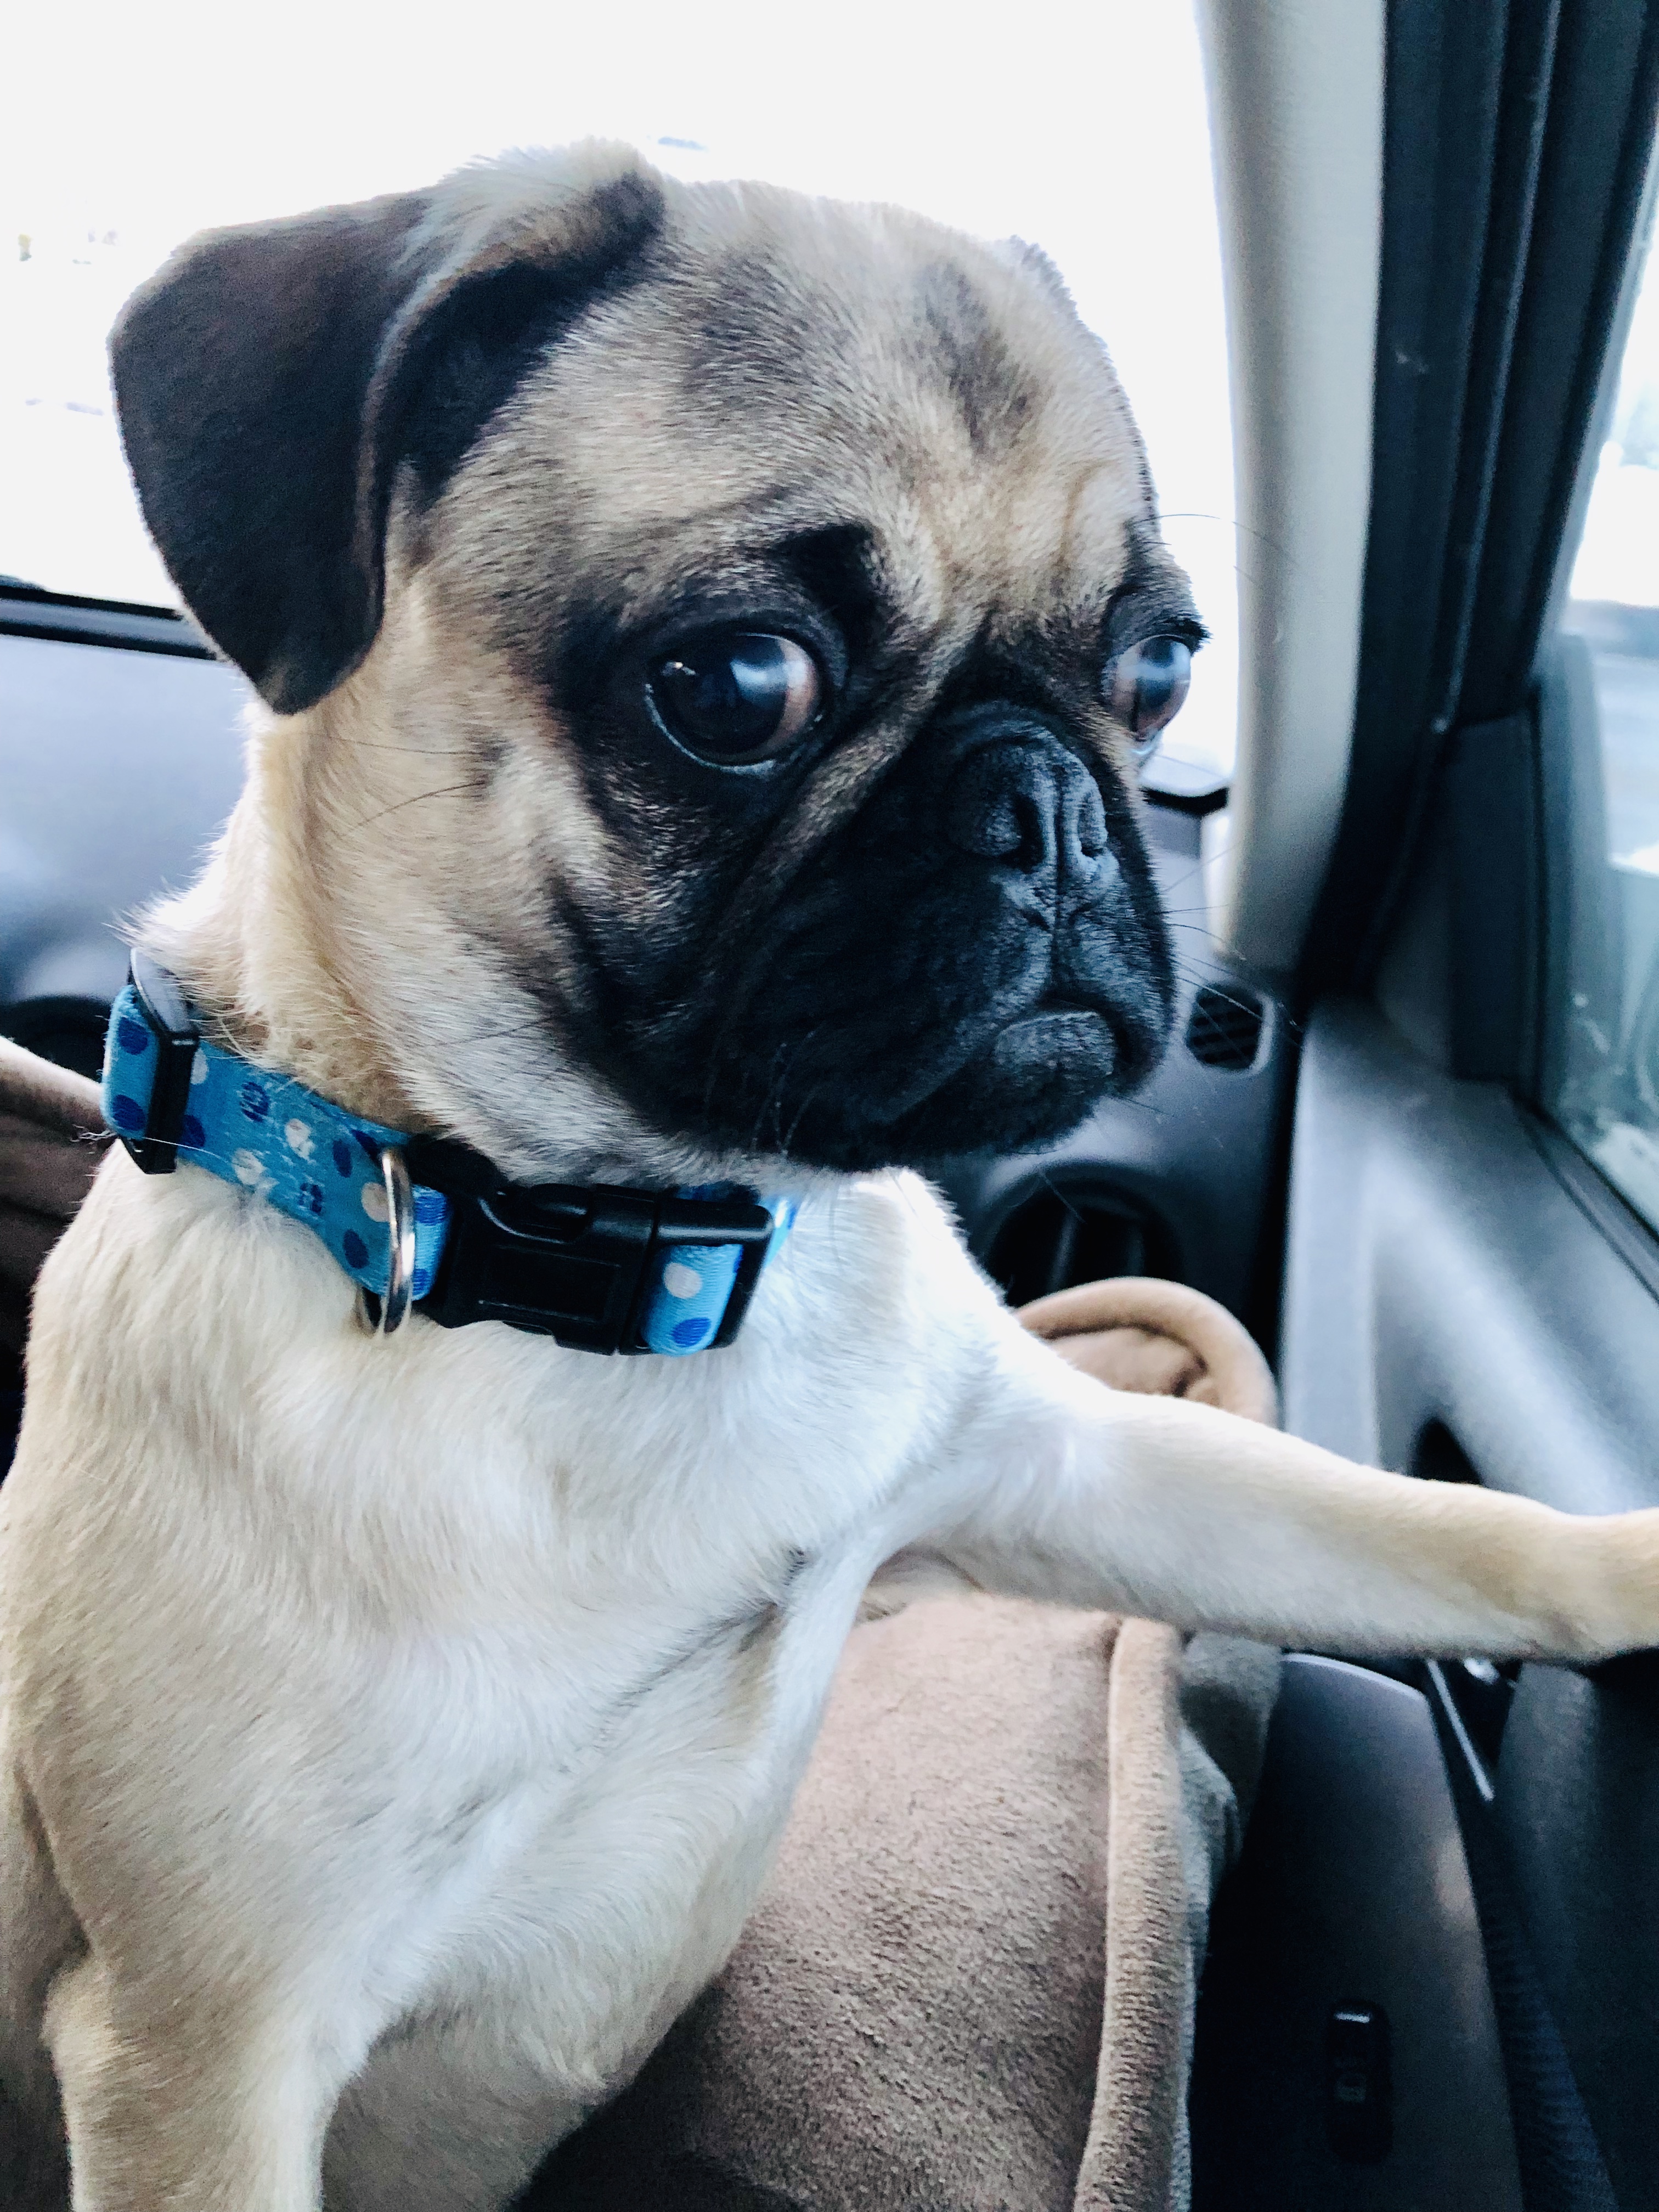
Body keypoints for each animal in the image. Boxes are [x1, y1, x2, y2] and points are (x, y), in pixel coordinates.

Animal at [4, 143, 1658, 2212]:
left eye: (1160, 666)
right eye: (734, 685)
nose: (1048, 801)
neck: (621, 1265)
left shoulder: (1078, 1470)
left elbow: (1417, 1537)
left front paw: (1628, 1562)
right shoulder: (204, 2058)